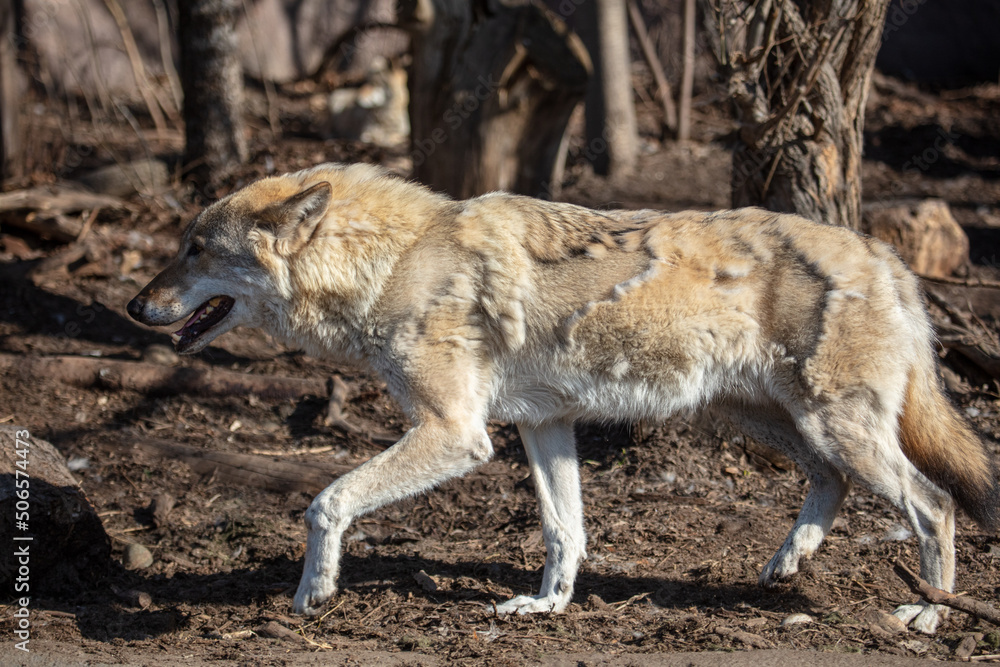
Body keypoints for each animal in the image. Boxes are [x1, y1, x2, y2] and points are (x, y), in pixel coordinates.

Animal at [127, 162, 998, 634]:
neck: (397, 259)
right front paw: (546, 607)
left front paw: (314, 591)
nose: (135, 306)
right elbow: (563, 531)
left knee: (933, 505)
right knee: (836, 481)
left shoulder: (456, 434)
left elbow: (324, 501)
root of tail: (887, 257)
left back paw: (929, 613)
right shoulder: (542, 424)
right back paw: (789, 560)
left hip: (825, 423)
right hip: (761, 418)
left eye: (195, 250)